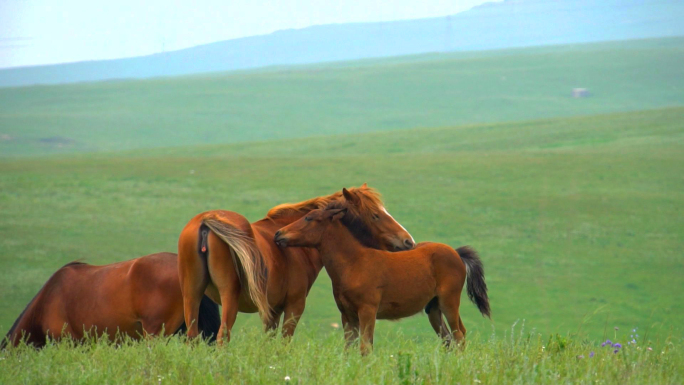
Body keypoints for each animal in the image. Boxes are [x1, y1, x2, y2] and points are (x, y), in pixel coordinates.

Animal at [176, 184, 414, 344]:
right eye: (375, 215)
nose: (408, 241)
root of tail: (207, 222)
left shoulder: (272, 311)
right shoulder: (294, 306)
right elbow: (284, 343)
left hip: (192, 294)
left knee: (192, 336)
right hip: (228, 297)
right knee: (223, 336)